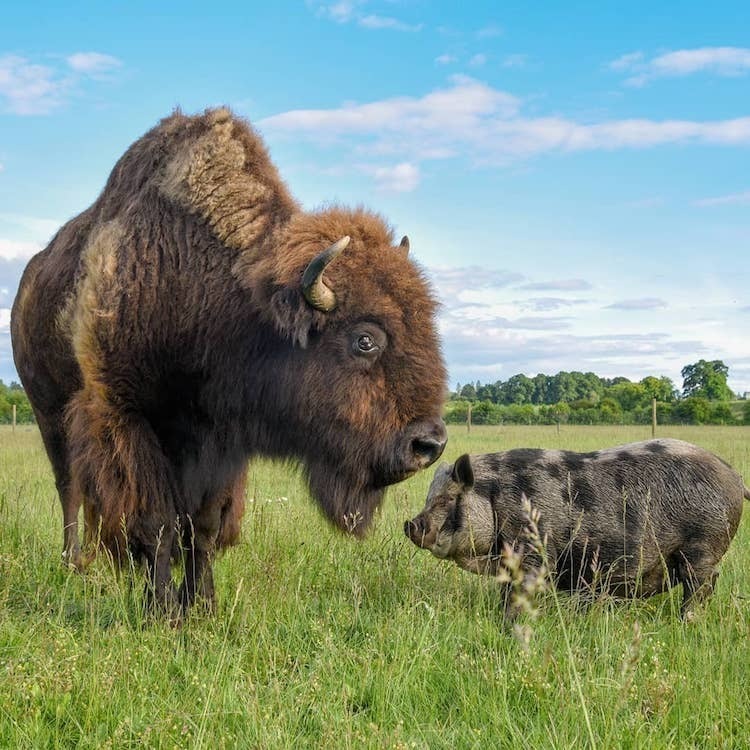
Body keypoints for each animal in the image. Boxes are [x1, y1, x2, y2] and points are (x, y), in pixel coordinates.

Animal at [13, 106, 446, 616]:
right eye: (365, 340)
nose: (430, 444)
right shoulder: (125, 417)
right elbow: (156, 521)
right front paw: (163, 612)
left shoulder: (216, 441)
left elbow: (201, 523)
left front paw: (202, 605)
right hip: (48, 414)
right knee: (70, 489)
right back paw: (74, 564)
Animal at [408, 438, 748, 620]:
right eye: (429, 496)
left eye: (448, 498)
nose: (410, 524)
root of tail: (734, 476)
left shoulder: (532, 554)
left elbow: (519, 595)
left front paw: (509, 623)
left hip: (704, 545)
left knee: (702, 584)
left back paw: (686, 620)